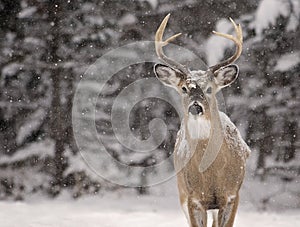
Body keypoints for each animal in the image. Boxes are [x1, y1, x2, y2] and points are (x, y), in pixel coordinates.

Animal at [155, 14, 251, 227]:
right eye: (184, 88)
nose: (195, 107)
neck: (212, 172)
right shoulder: (193, 199)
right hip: (181, 193)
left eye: (209, 89)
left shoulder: (232, 195)